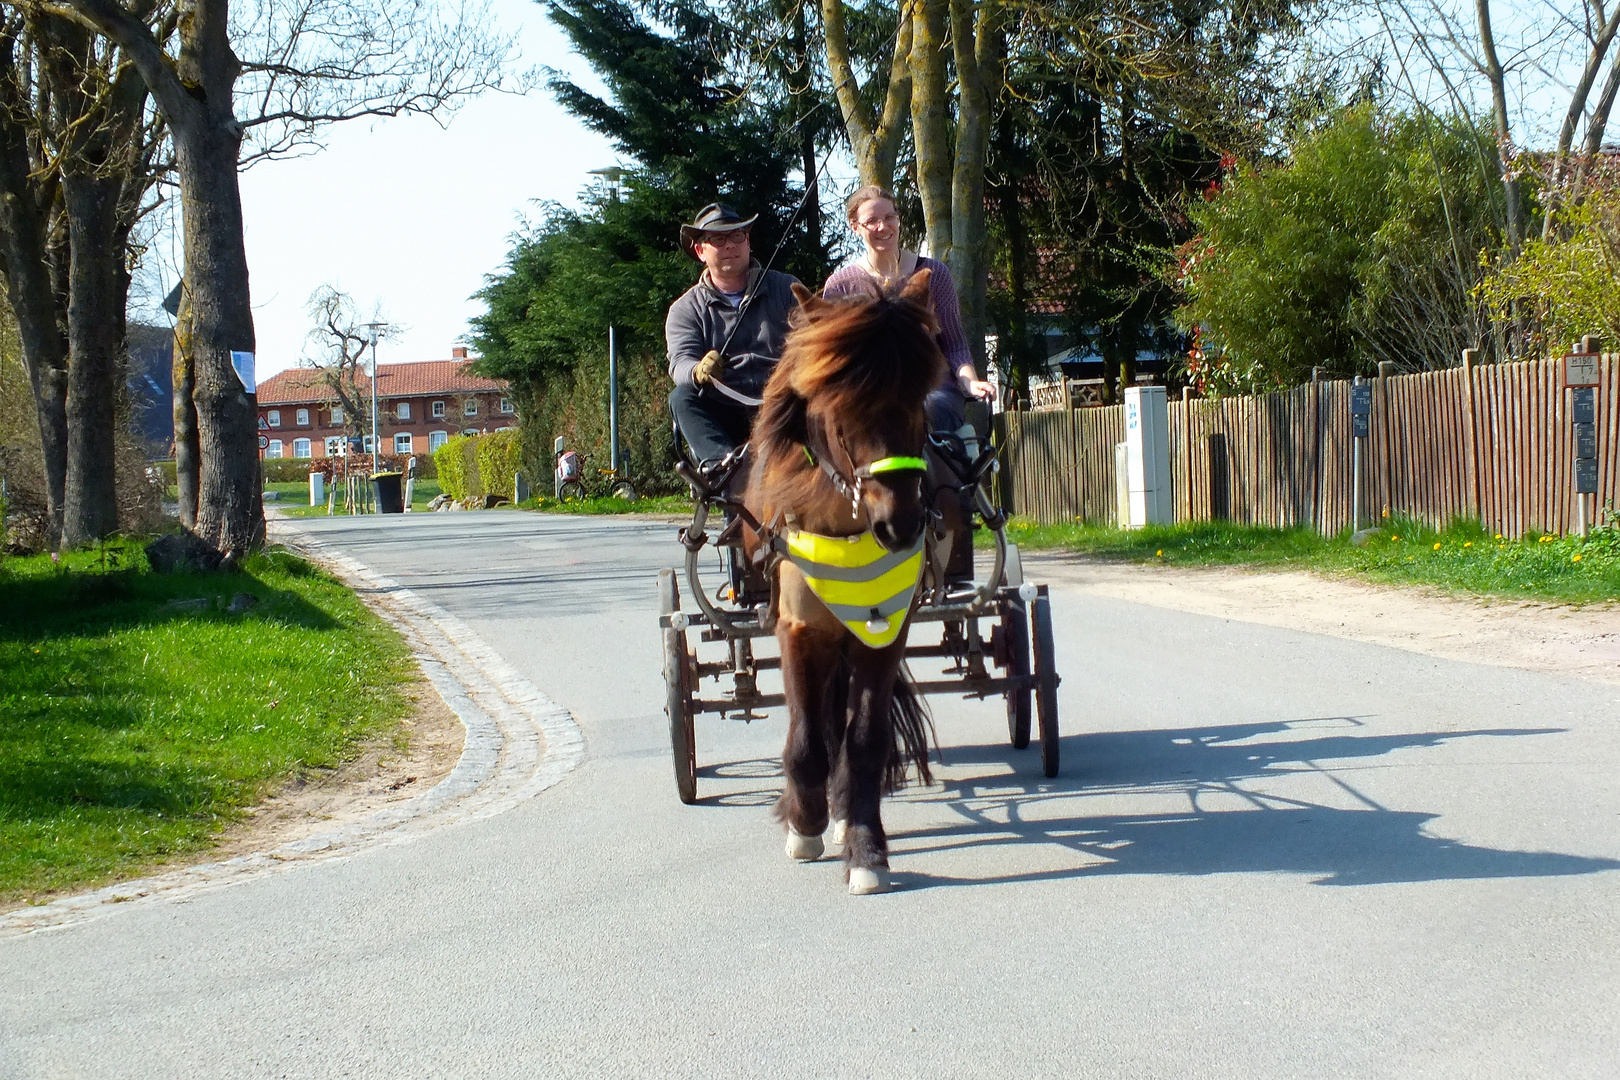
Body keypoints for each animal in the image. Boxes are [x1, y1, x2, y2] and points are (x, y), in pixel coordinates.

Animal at [741, 268, 946, 893]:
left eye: (920, 399)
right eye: (838, 406)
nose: (900, 523)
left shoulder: (884, 630)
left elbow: (864, 740)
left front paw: (864, 846)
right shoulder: (800, 629)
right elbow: (806, 738)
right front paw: (804, 824)